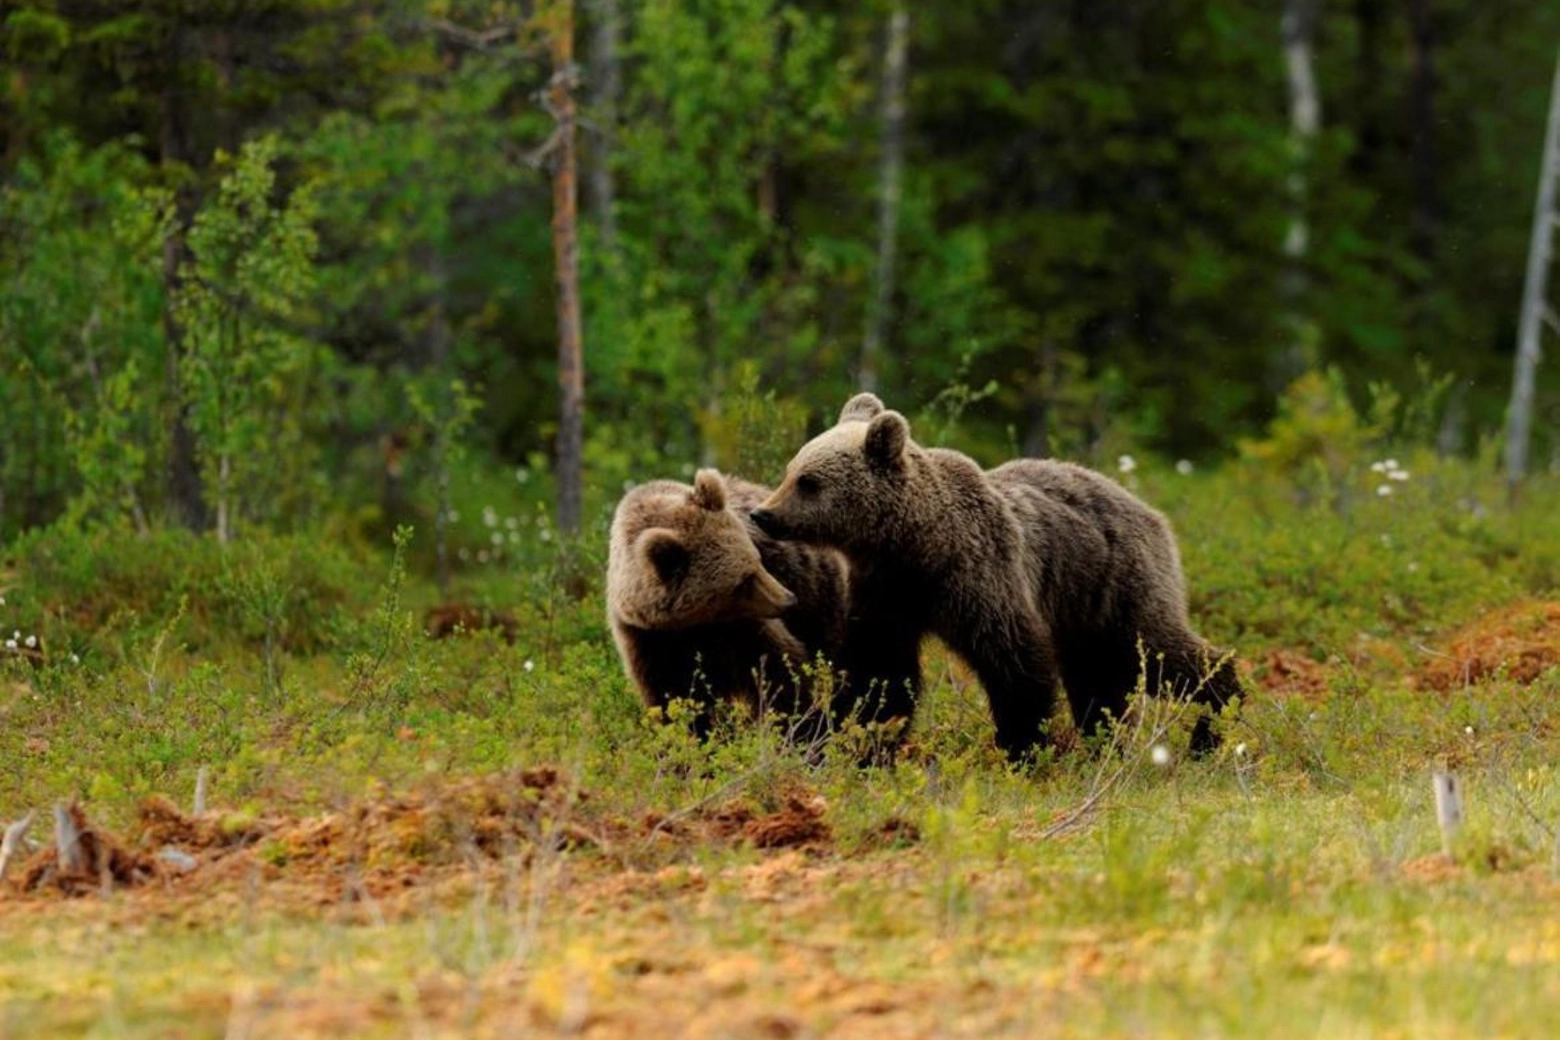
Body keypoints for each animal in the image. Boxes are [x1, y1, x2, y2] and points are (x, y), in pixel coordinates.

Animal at [608, 470, 854, 739]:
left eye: (758, 560)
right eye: (742, 582)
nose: (789, 601)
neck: (691, 624)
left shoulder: (740, 627)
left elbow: (777, 668)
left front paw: (800, 726)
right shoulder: (647, 639)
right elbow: (671, 695)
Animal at [748, 394, 1235, 760]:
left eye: (808, 481)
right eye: (791, 470)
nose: (763, 514)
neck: (916, 544)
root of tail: (1150, 511)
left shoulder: (977, 575)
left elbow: (1013, 659)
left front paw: (1021, 745)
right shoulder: (886, 592)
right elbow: (881, 671)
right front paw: (858, 737)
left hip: (1116, 584)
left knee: (1153, 650)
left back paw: (1213, 719)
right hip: (1084, 609)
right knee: (1099, 680)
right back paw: (1106, 741)